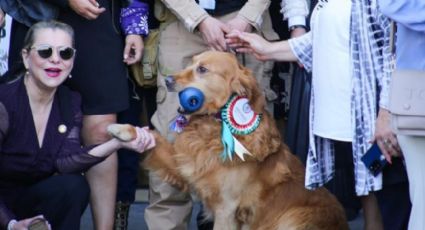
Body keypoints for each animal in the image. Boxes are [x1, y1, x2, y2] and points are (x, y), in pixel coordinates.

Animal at [108, 51, 348, 229]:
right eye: (191, 63)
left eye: (202, 69)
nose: (167, 80)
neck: (213, 127)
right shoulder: (185, 166)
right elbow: (154, 137)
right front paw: (125, 130)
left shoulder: (227, 209)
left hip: (292, 218)